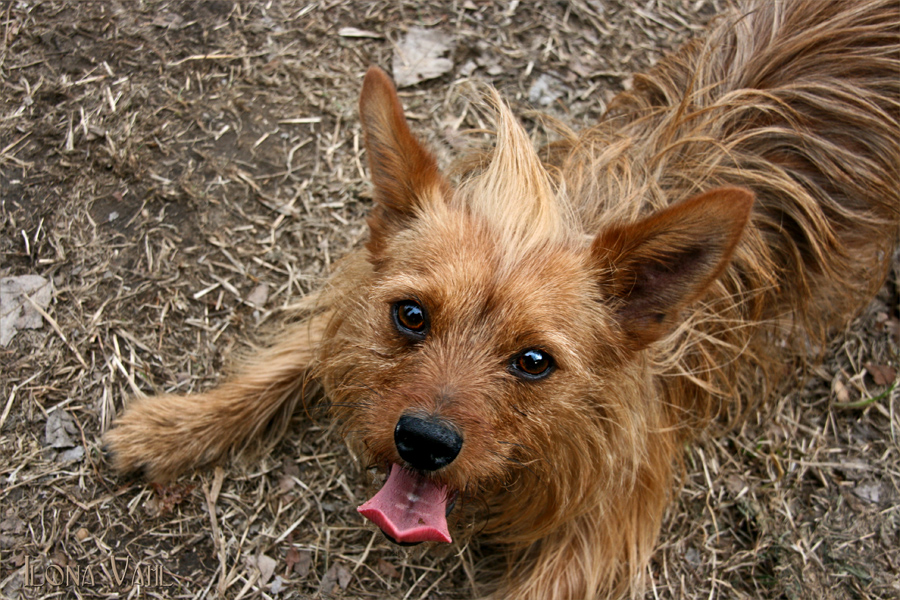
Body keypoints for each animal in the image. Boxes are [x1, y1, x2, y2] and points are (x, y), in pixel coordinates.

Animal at [105, 2, 900, 596]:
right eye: (411, 316)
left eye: (534, 362)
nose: (423, 442)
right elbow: (286, 362)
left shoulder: (606, 526)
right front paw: (174, 428)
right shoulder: (358, 297)